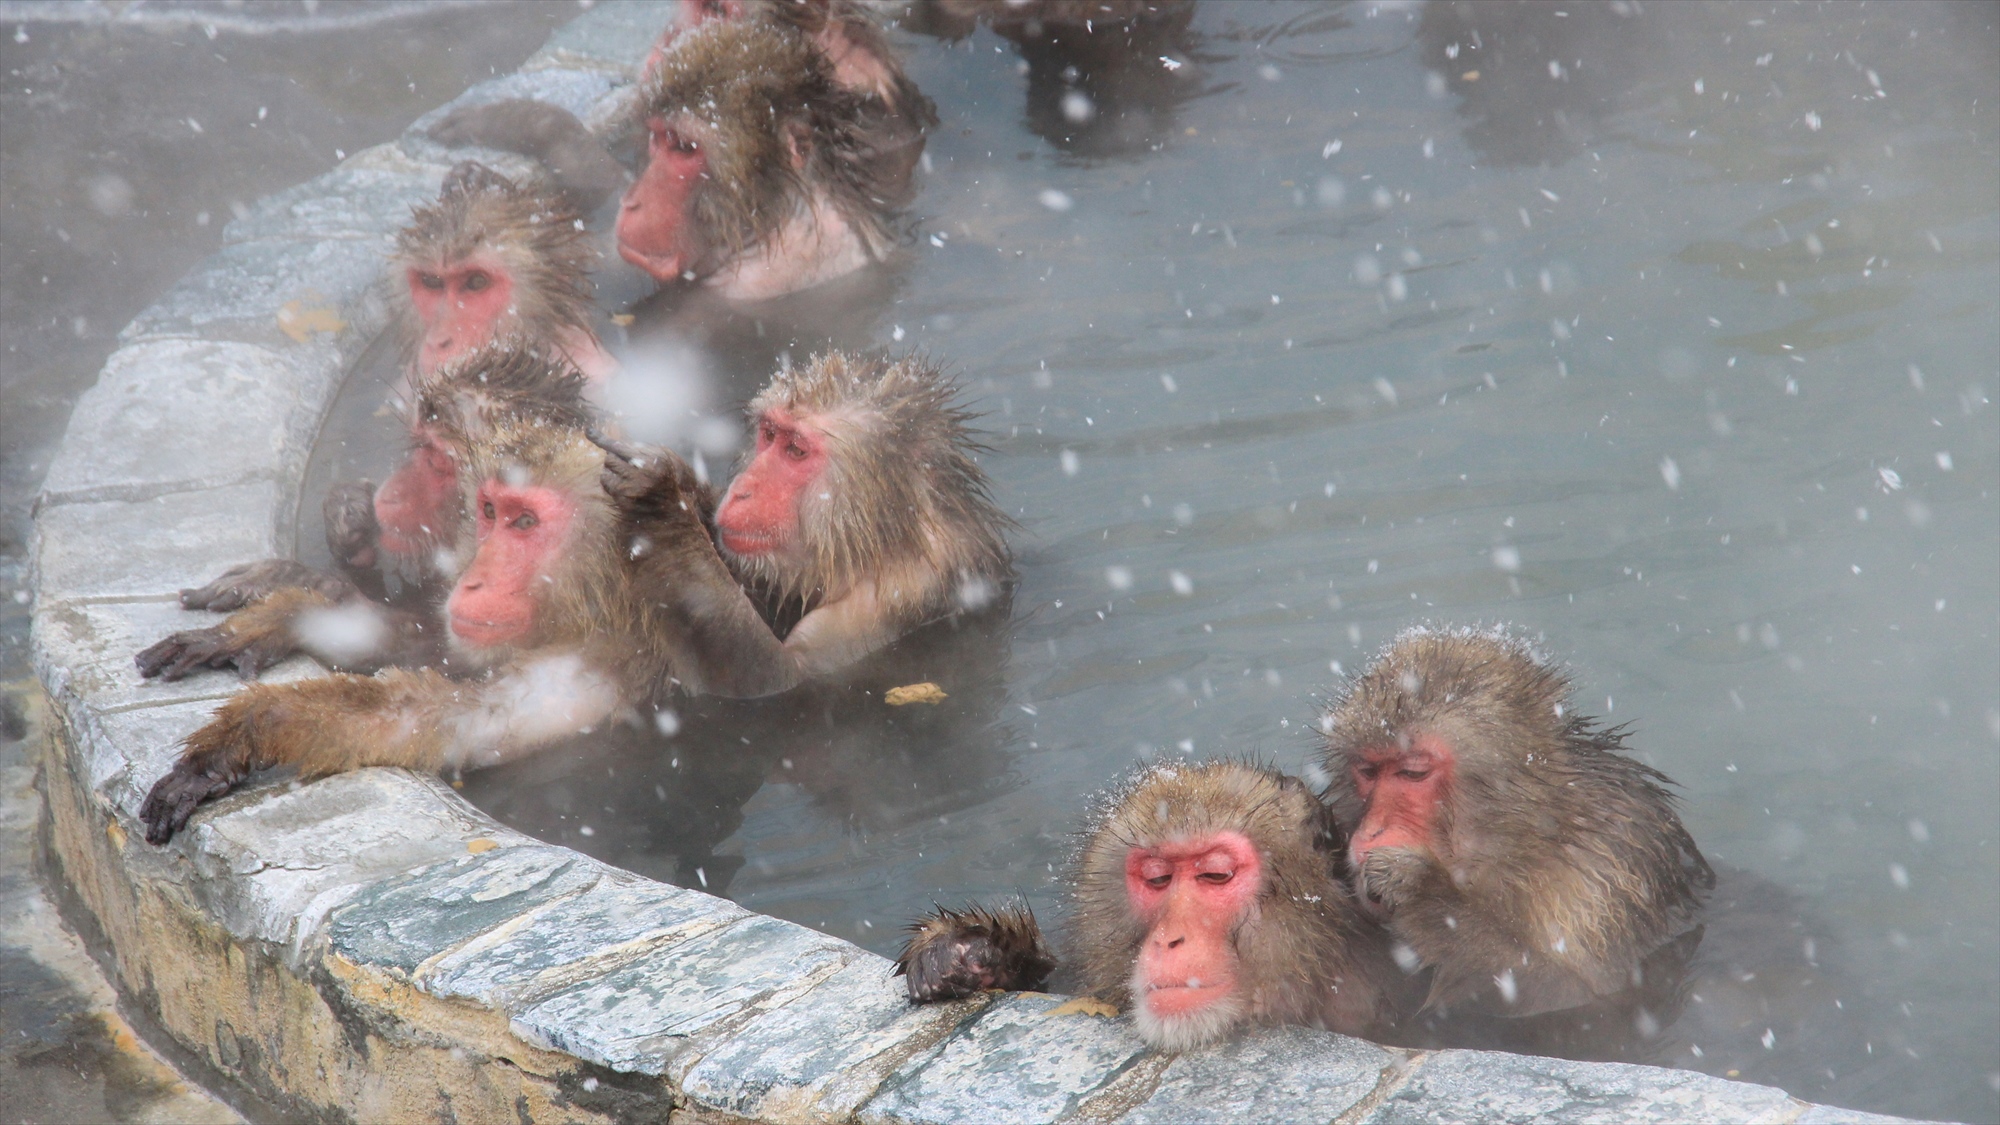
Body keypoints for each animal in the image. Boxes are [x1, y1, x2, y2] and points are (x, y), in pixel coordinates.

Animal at [1320, 624, 1712, 1020]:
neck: (1525, 842)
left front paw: (1420, 888)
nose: (1371, 833)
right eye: (1368, 771)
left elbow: (1574, 991)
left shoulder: (1604, 881)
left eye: (1413, 772)